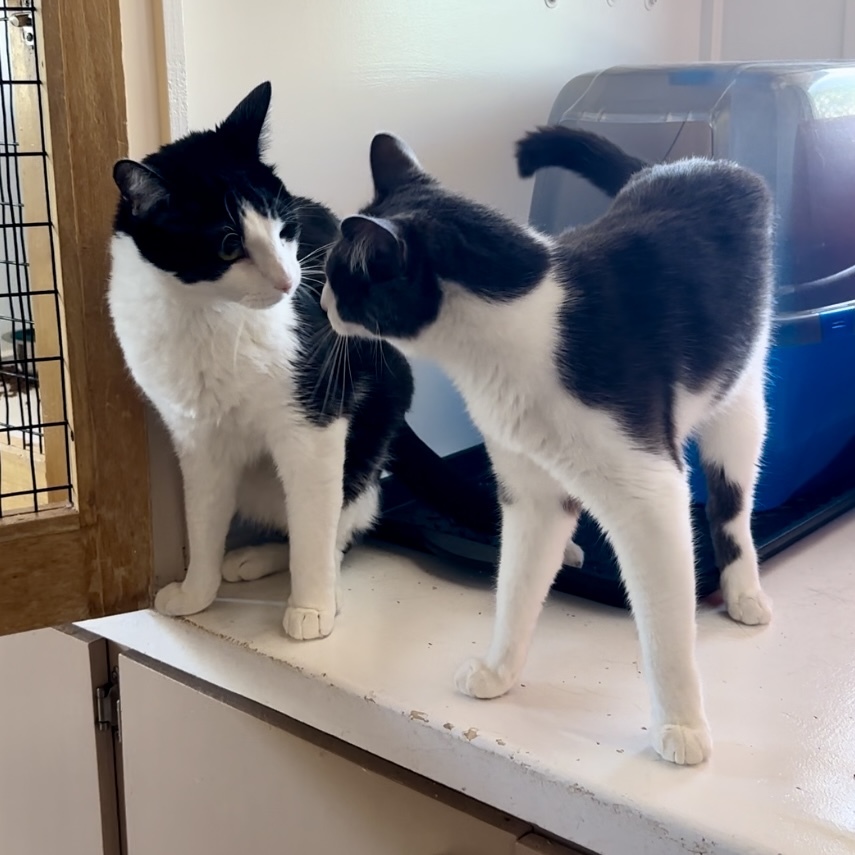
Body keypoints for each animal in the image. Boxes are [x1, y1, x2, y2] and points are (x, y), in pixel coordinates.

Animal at [108, 82, 422, 640]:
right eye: (229, 245)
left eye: (283, 229)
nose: (288, 281)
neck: (205, 314)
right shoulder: (196, 438)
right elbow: (203, 518)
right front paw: (196, 592)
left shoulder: (315, 421)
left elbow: (316, 519)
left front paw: (312, 604)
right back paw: (254, 557)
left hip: (374, 423)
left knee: (337, 521)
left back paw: (320, 583)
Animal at [320, 125, 776, 764]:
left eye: (340, 277)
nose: (320, 304)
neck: (515, 339)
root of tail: (684, 164)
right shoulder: (527, 490)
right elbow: (515, 584)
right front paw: (499, 670)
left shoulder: (650, 492)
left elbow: (665, 619)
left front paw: (682, 724)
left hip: (740, 397)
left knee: (732, 503)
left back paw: (743, 592)